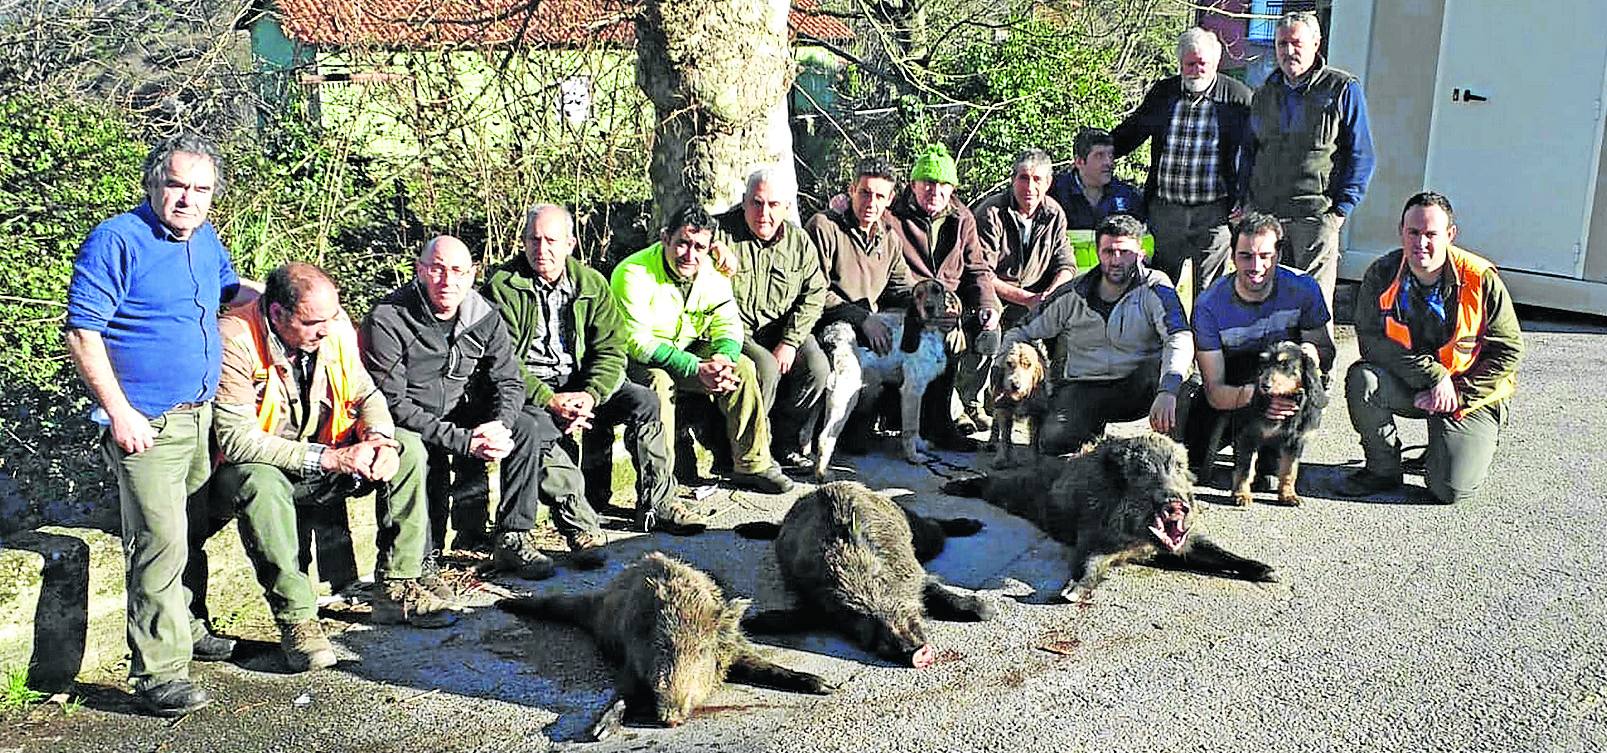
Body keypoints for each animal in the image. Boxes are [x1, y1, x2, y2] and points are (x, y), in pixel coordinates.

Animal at [809, 279, 957, 478]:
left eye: (936, 290)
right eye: (918, 295)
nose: (929, 308)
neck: (926, 330)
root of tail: (830, 334)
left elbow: (916, 427)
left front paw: (921, 445)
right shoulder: (912, 391)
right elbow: (911, 429)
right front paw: (914, 457)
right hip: (845, 395)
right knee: (825, 436)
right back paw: (823, 473)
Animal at [1227, 340, 1330, 504]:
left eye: (1284, 364)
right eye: (1264, 364)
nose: (1264, 386)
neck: (1285, 397)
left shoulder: (1295, 441)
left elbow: (1290, 470)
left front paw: (1288, 495)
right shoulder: (1248, 436)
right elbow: (1245, 468)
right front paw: (1241, 494)